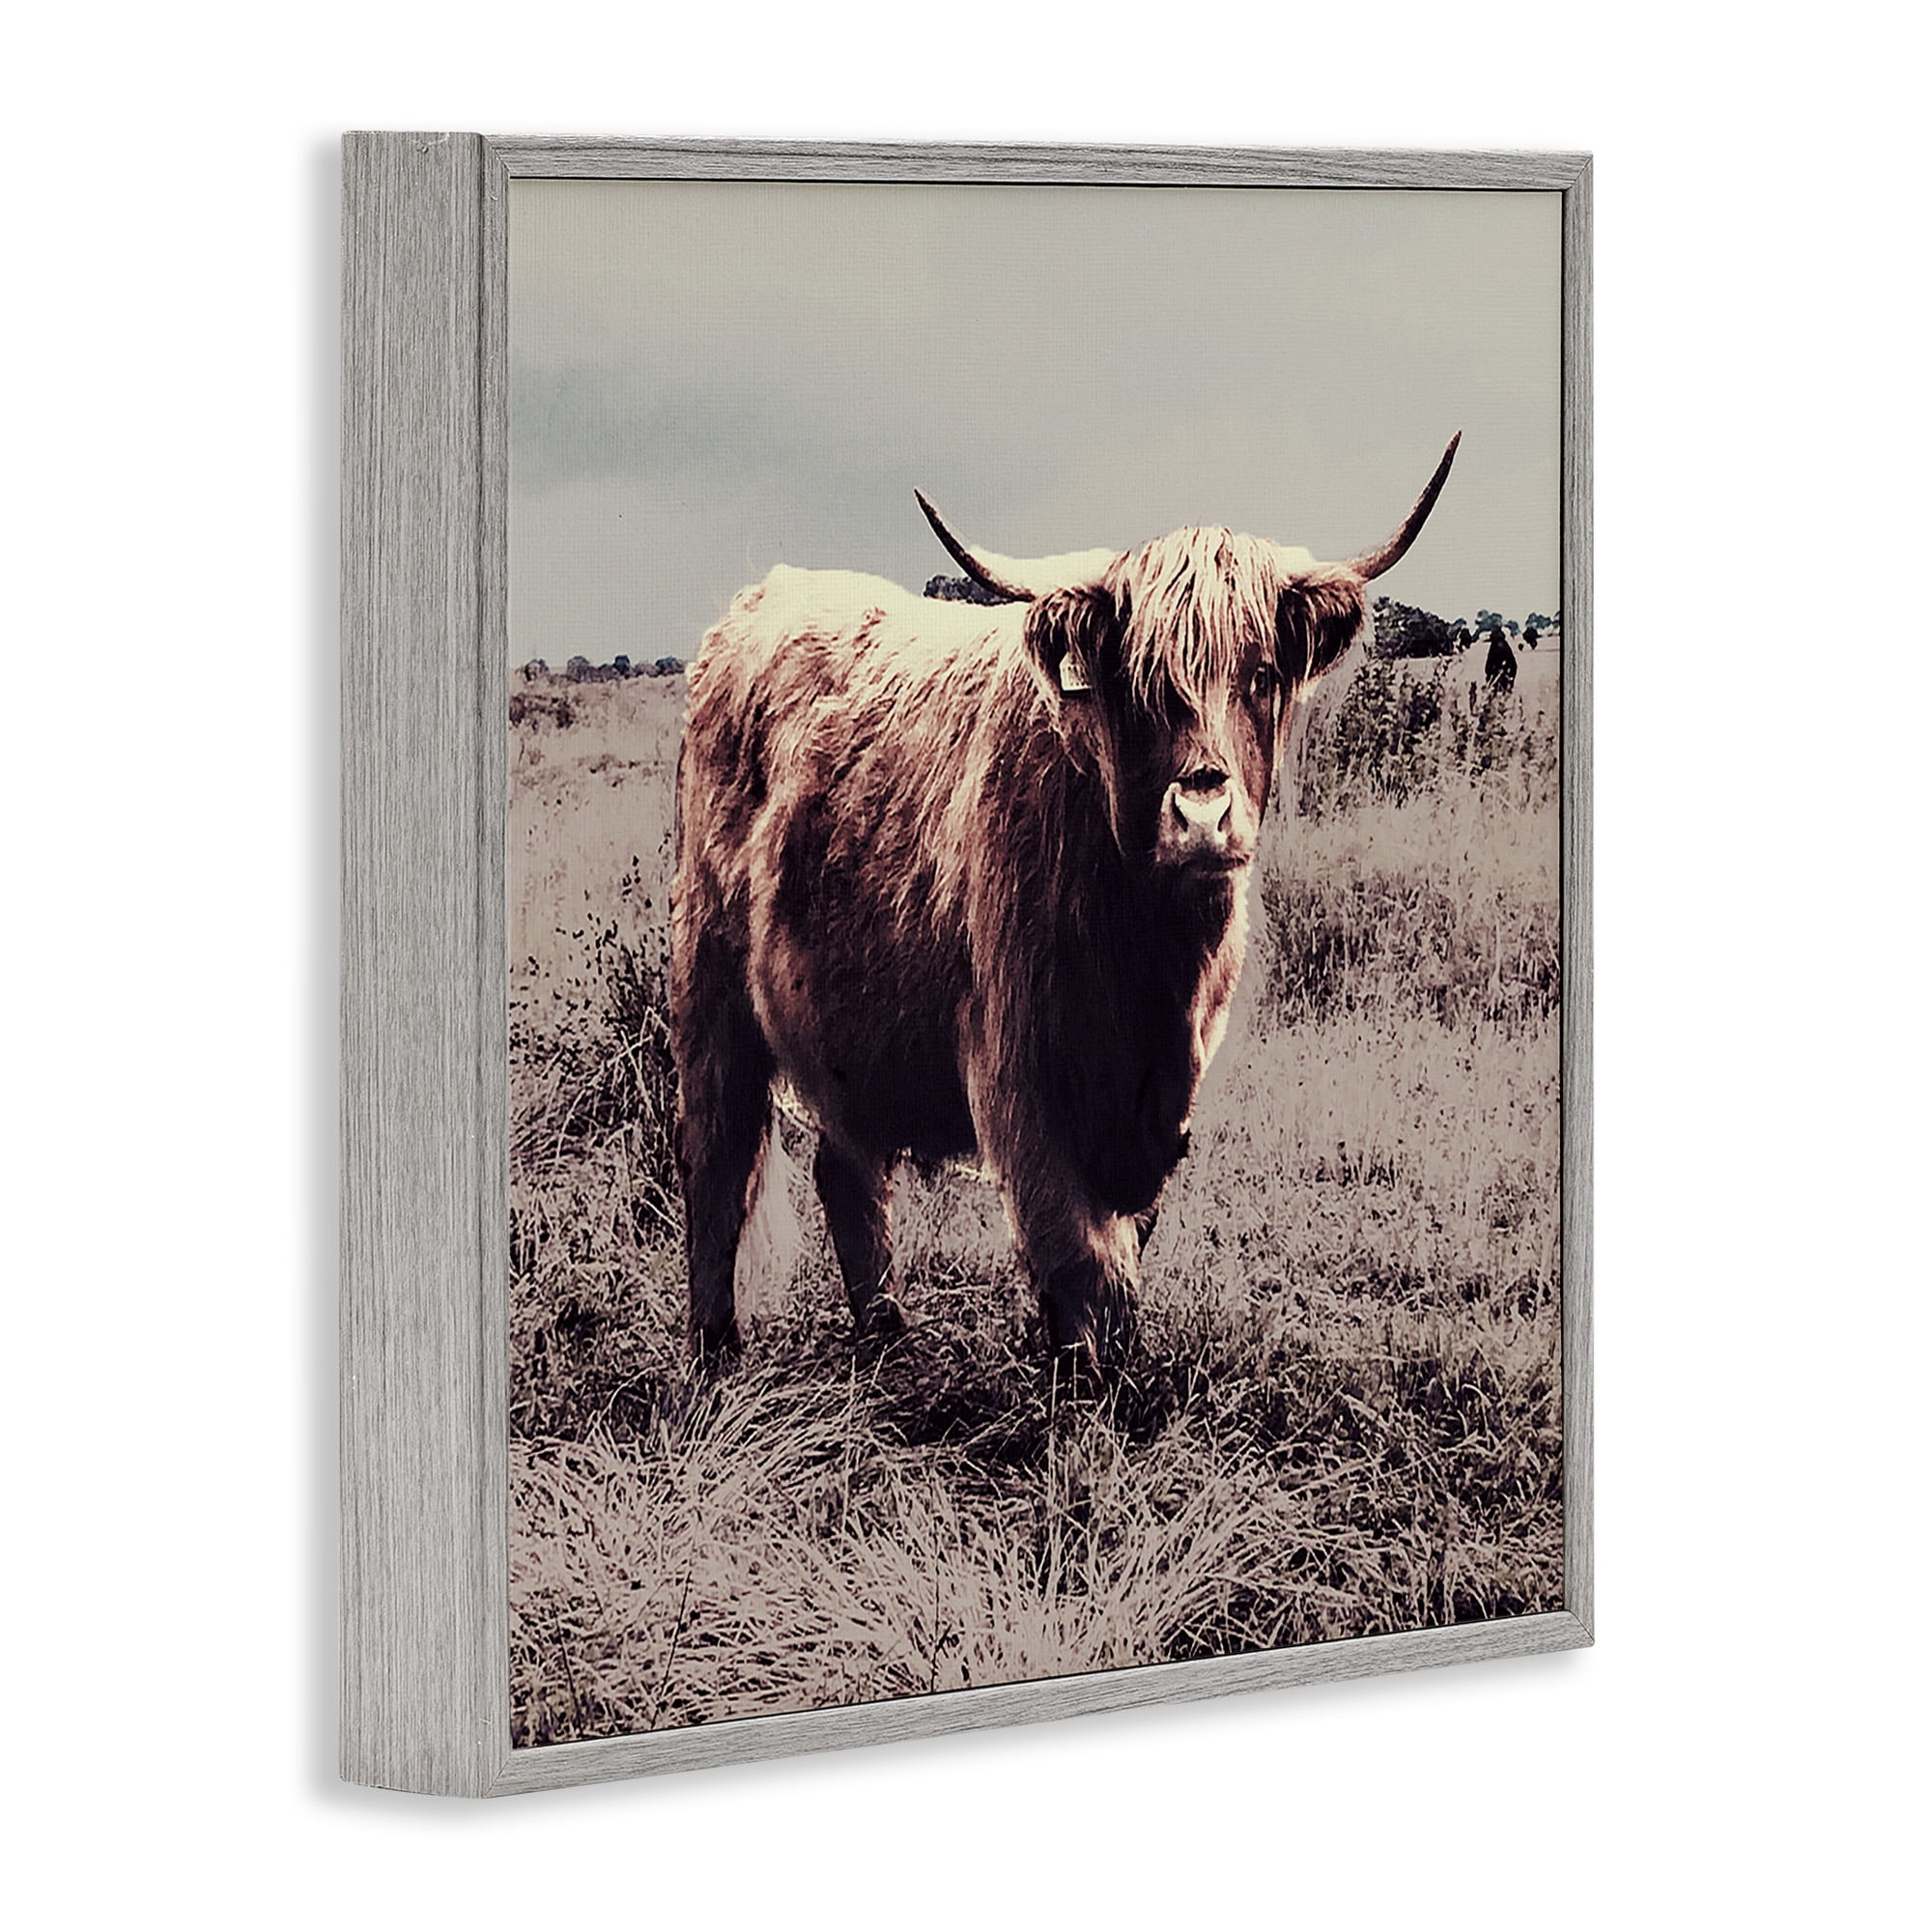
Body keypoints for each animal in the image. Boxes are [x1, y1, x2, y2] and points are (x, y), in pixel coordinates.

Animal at [670, 436, 1460, 1367]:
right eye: (1138, 683)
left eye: (1263, 674)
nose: (1202, 815)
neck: (1151, 959)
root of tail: (763, 597)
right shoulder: (1020, 1073)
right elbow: (1083, 1261)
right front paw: (1087, 1386)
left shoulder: (1165, 1096)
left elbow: (1121, 1244)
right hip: (710, 985)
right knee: (717, 1162)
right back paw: (715, 1352)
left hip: (840, 1019)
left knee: (846, 1167)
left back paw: (886, 1335)